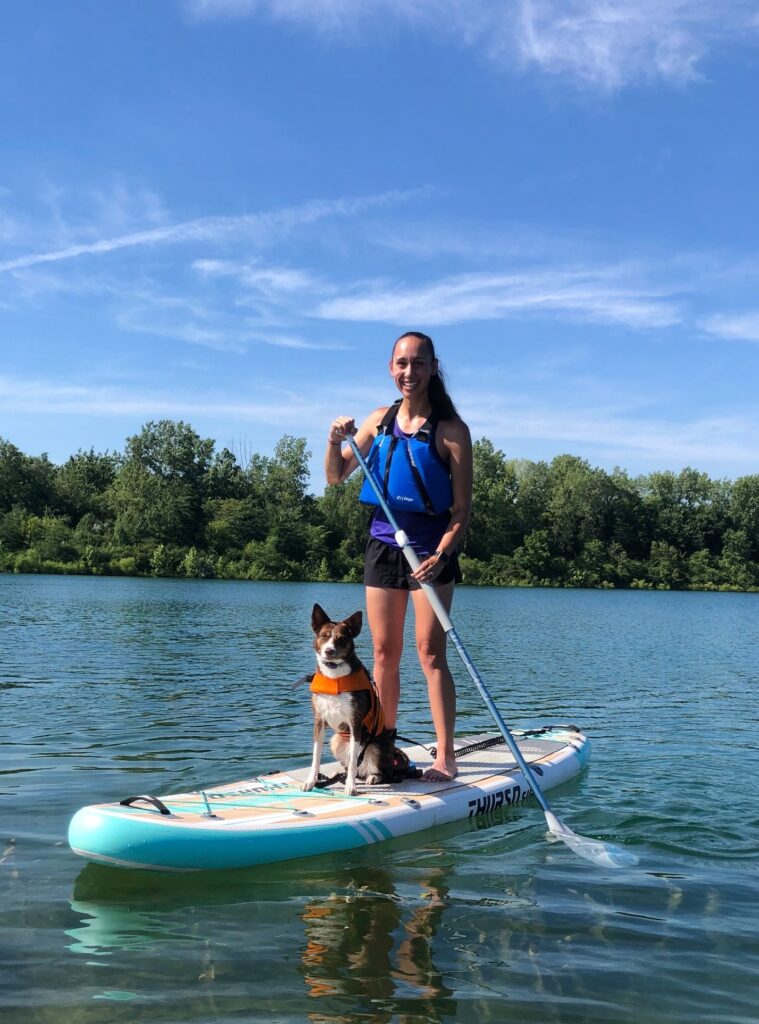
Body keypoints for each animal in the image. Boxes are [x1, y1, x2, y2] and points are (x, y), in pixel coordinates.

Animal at [302, 603, 393, 796]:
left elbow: (352, 764)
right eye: (324, 636)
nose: (329, 651)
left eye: (341, 639)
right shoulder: (319, 720)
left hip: (377, 747)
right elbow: (316, 756)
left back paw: (372, 777)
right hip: (336, 741)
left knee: (380, 770)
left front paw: (351, 786)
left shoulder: (354, 722)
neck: (334, 676)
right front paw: (311, 781)